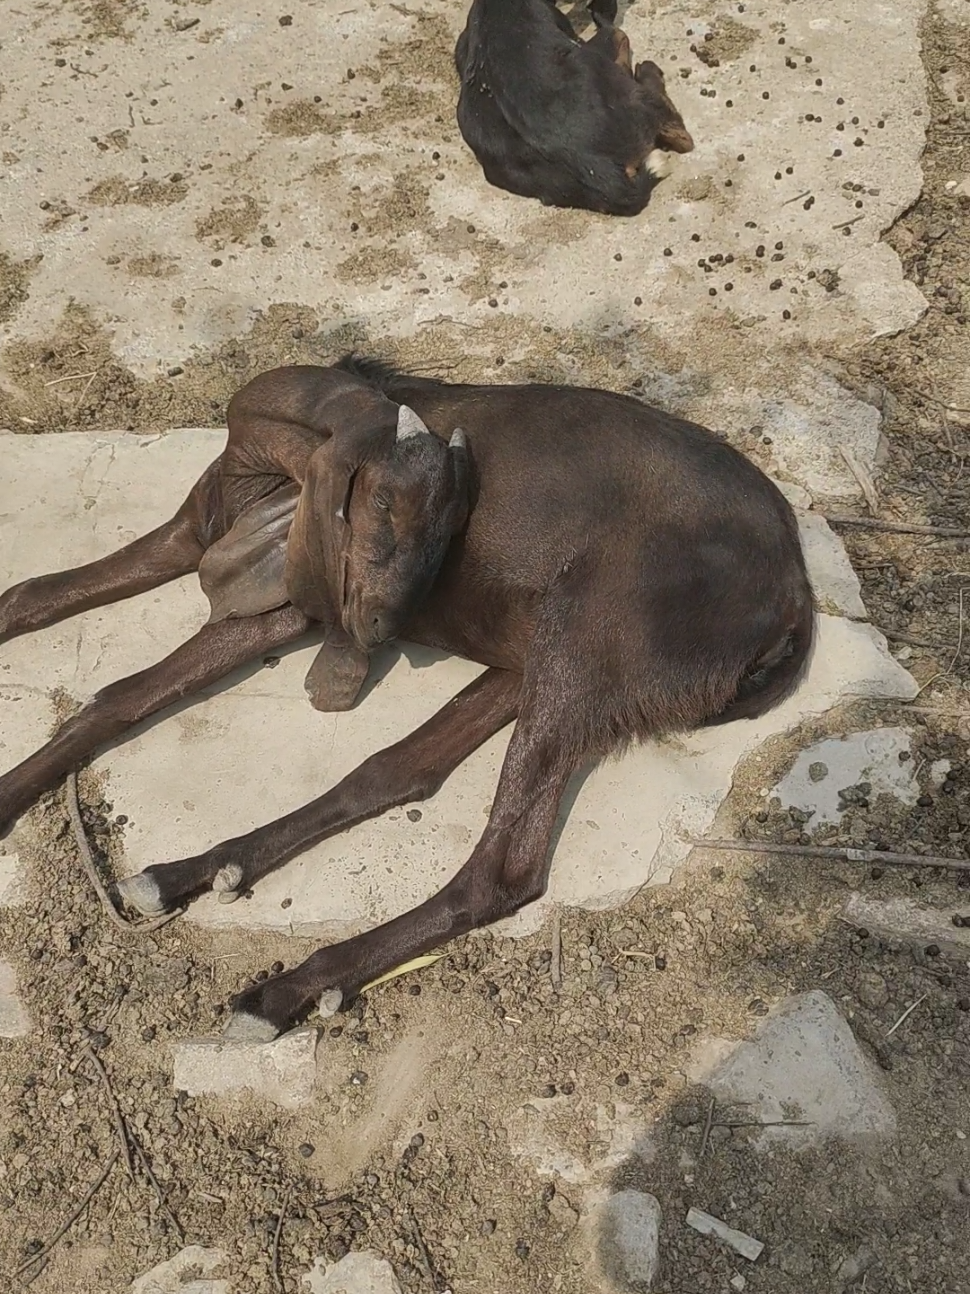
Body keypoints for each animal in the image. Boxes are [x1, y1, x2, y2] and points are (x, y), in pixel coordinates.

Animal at [0, 357, 815, 1041]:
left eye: (453, 519)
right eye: (383, 500)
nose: (380, 626)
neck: (256, 466)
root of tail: (794, 595)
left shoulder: (274, 610)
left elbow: (122, 688)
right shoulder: (187, 536)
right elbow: (39, 605)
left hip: (583, 645)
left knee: (503, 871)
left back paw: (293, 986)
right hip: (534, 659)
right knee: (400, 770)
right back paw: (202, 870)